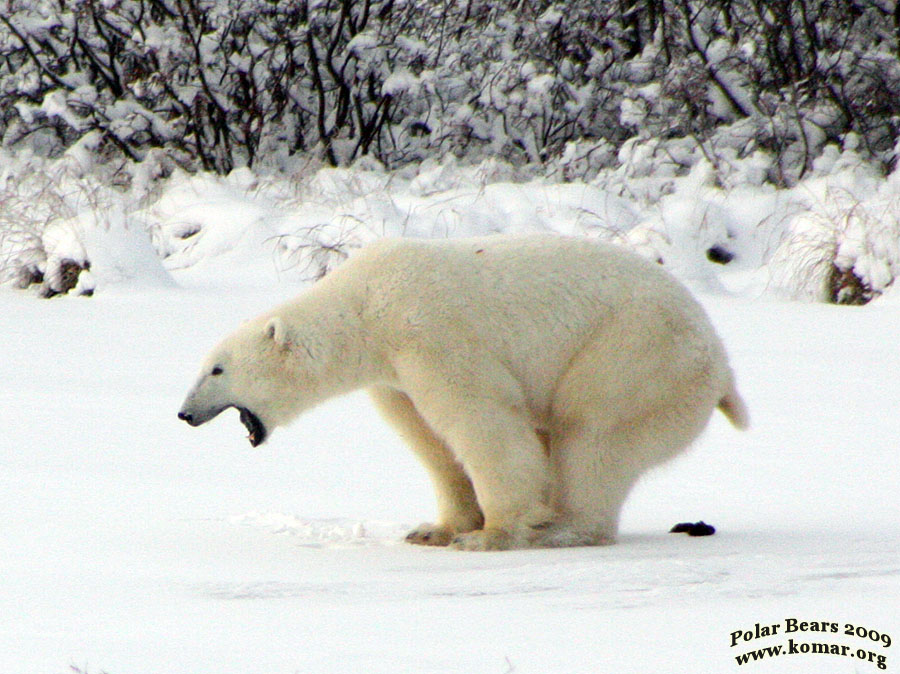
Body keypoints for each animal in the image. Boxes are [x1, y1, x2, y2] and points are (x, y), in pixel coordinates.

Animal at [176, 234, 744, 548]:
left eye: (217, 370)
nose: (183, 414)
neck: (365, 306)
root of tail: (721, 364)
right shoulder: (394, 375)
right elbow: (430, 439)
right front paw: (433, 529)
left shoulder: (430, 330)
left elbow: (482, 418)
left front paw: (491, 534)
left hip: (638, 352)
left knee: (592, 433)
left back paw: (561, 528)